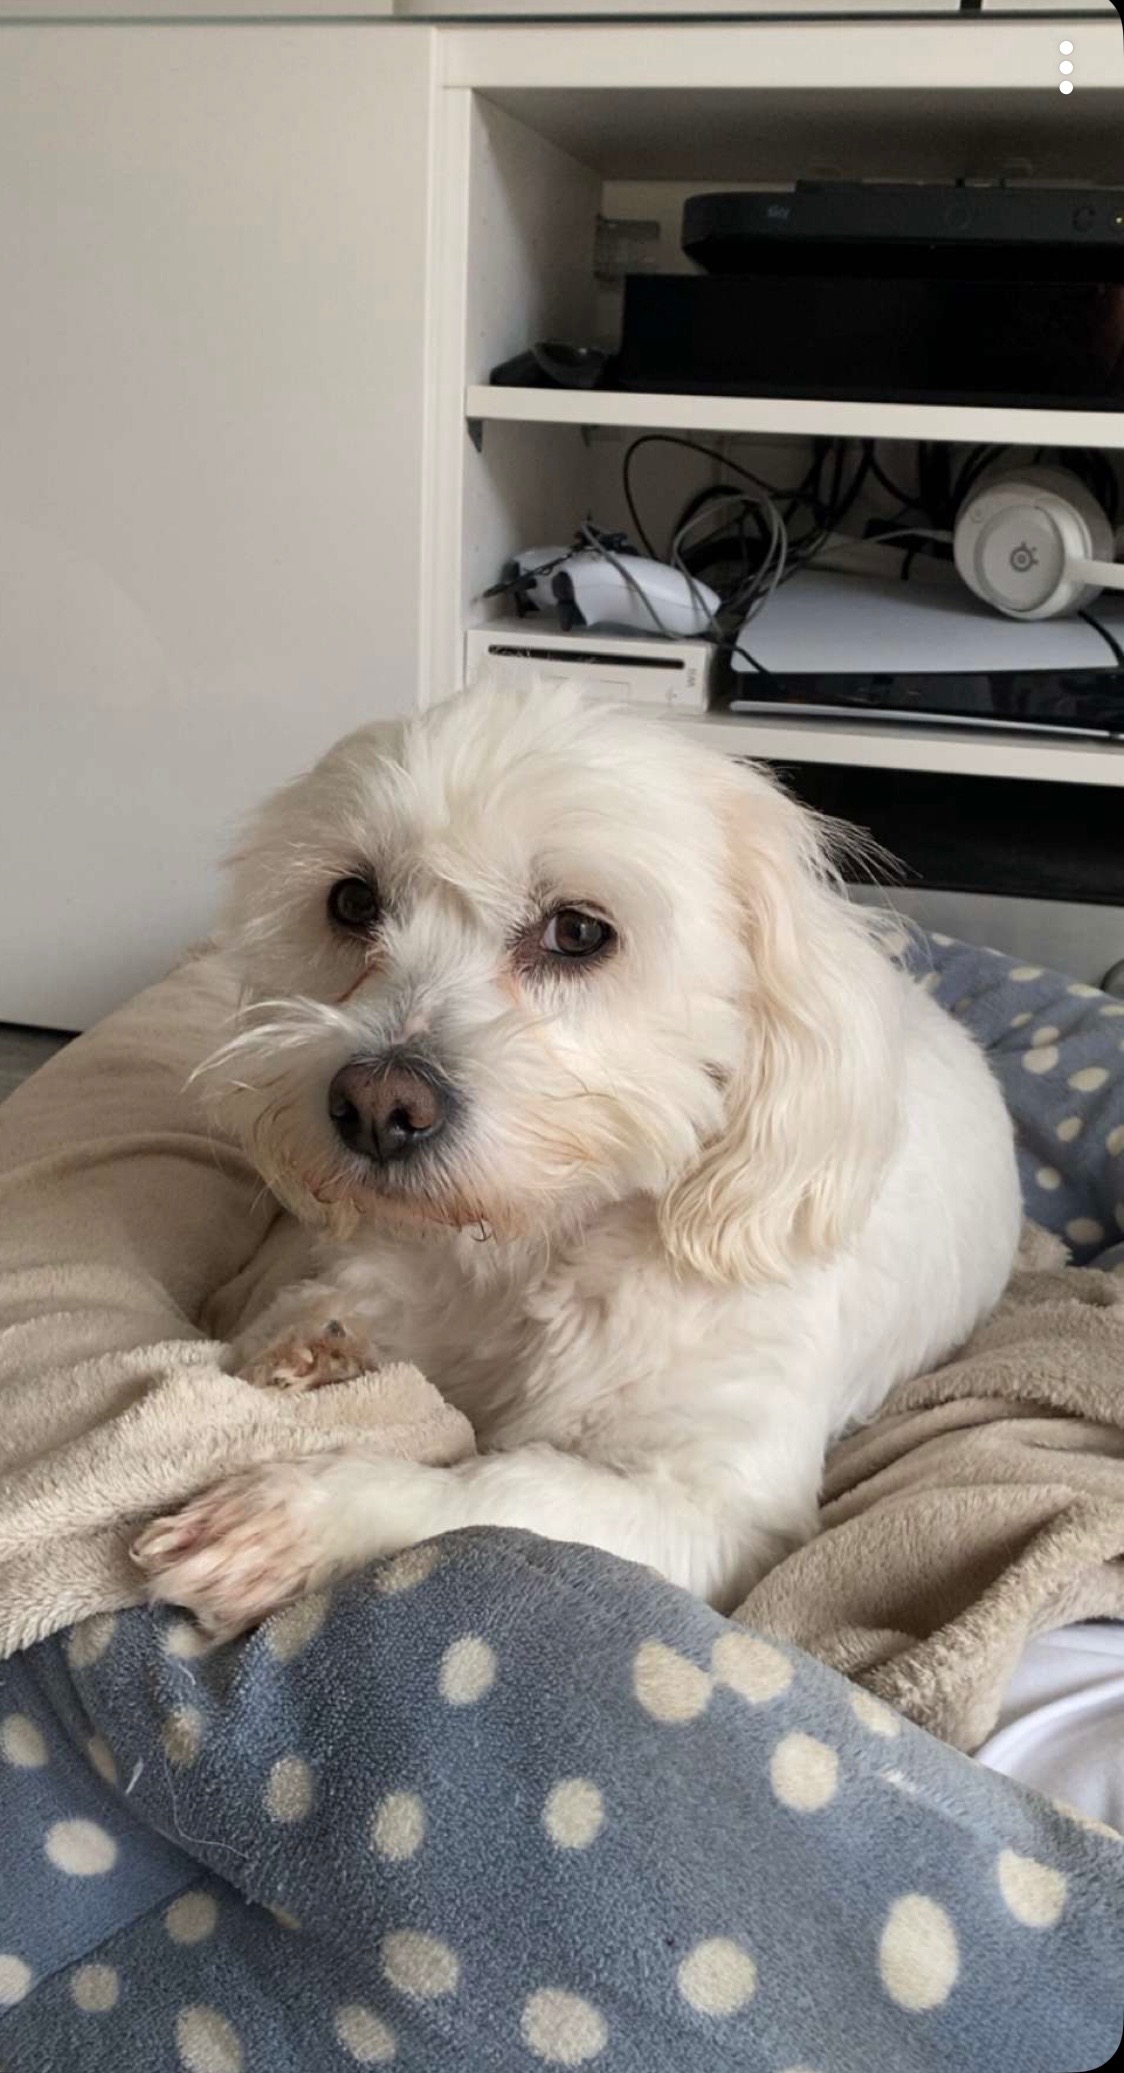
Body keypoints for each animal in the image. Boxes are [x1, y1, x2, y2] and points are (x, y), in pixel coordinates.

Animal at [134, 681, 1021, 1638]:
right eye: (353, 902)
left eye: (578, 931)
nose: (375, 1107)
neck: (519, 1250)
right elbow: (313, 1309)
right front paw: (306, 1343)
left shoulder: (716, 1513)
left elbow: (494, 1492)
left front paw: (301, 1514)